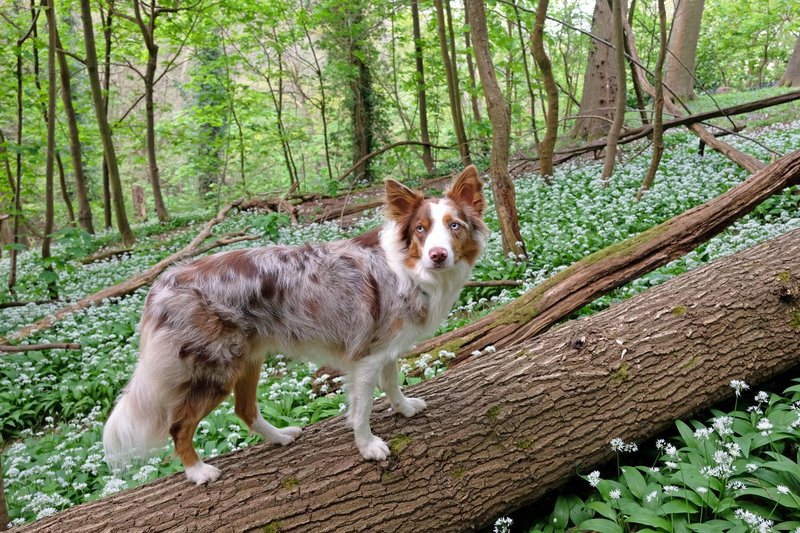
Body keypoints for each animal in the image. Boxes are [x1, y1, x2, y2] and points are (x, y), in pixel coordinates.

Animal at [100, 165, 488, 482]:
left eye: (454, 226)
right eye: (421, 229)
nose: (438, 255)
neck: (409, 269)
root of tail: (161, 286)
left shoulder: (385, 348)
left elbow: (392, 383)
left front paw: (404, 409)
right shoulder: (364, 358)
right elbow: (362, 409)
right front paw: (368, 447)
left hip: (248, 359)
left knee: (244, 410)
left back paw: (281, 436)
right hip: (215, 370)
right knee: (179, 425)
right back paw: (198, 471)